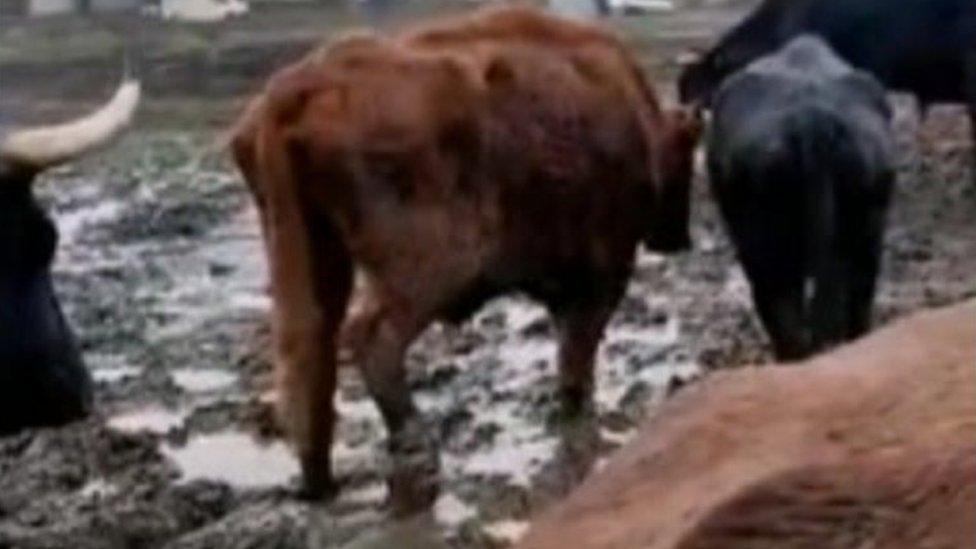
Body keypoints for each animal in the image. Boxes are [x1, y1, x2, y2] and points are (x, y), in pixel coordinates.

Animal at [232, 6, 696, 508]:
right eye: (687, 160)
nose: (679, 239)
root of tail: (294, 93)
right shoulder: (601, 274)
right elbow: (578, 353)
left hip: (308, 252)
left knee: (308, 349)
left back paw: (319, 478)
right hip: (431, 269)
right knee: (371, 336)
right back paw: (415, 445)